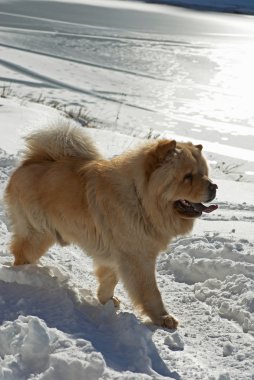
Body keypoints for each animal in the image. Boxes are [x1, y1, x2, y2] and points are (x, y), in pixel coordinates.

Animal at [3, 120, 217, 328]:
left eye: (205, 173)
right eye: (187, 177)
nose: (214, 186)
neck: (140, 198)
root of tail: (31, 161)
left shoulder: (118, 255)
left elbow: (109, 279)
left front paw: (106, 300)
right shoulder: (139, 258)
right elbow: (150, 291)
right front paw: (163, 318)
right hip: (37, 233)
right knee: (21, 252)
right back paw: (27, 276)